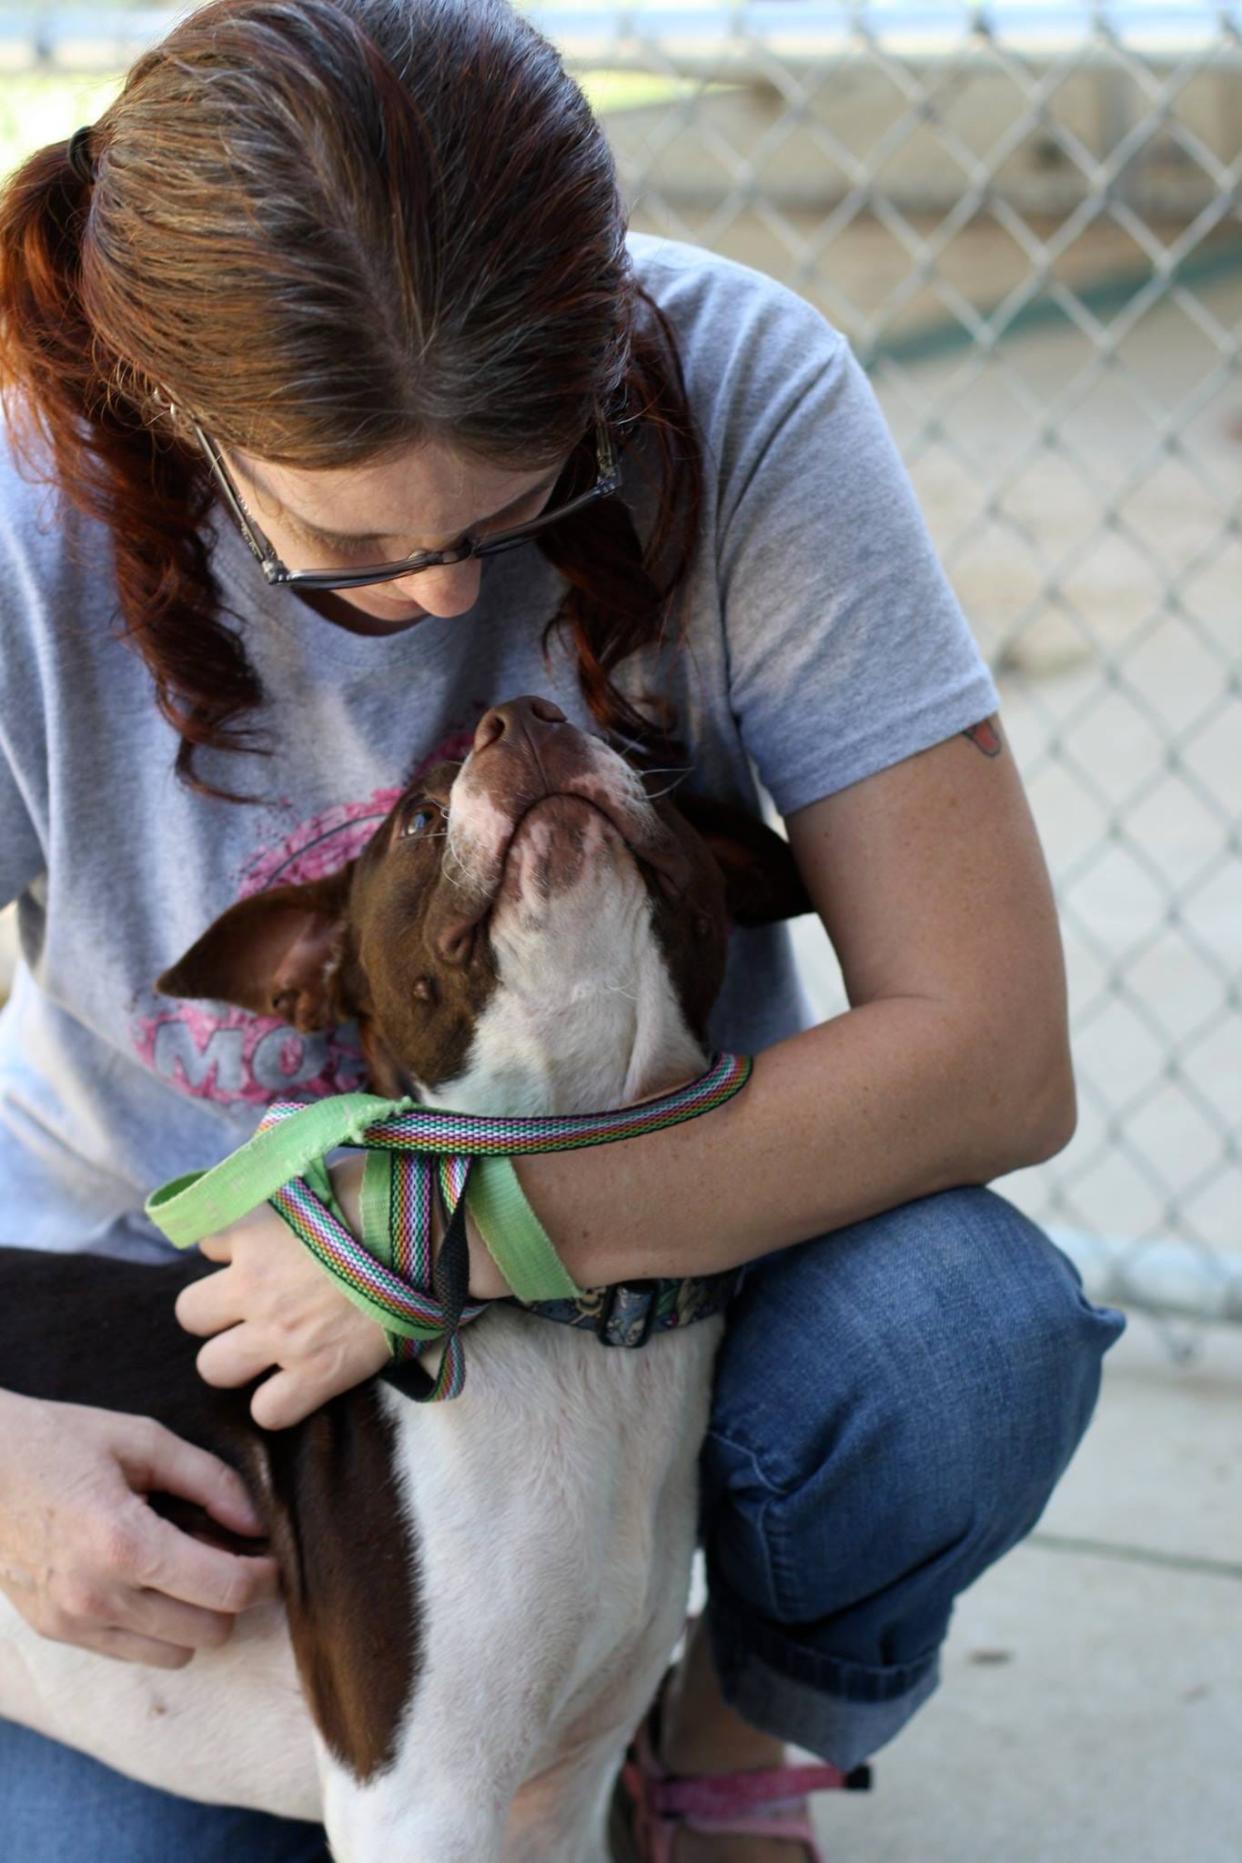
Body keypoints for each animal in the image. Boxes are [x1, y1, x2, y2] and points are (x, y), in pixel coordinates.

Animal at [0, 700, 808, 1863]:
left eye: (624, 746)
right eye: (420, 820)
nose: (528, 715)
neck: (581, 1333)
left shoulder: (560, 1796)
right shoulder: (420, 1802)